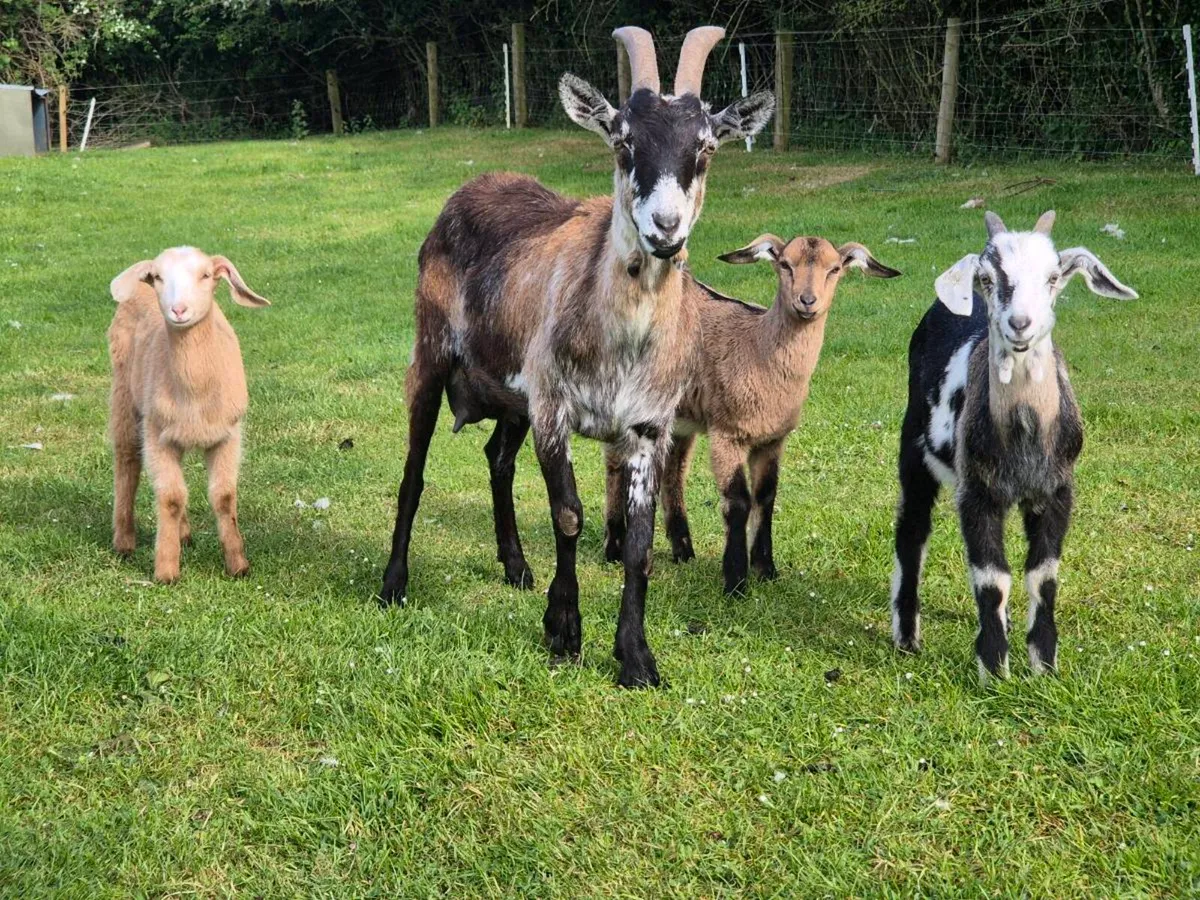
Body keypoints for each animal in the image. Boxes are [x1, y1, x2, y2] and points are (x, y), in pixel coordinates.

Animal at [108, 247, 270, 583]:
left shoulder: (228, 435)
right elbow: (170, 498)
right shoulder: (157, 435)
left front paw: (238, 565)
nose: (178, 310)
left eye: (206, 275)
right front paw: (166, 570)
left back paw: (183, 534)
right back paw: (125, 542)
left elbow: (223, 497)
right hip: (124, 395)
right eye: (158, 276)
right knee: (127, 463)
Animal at [378, 26, 774, 688]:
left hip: (513, 395)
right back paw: (392, 584)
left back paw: (515, 566)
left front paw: (636, 656)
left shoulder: (646, 426)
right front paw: (564, 630)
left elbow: (638, 544)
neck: (620, 341)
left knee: (496, 459)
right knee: (414, 473)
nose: (665, 227)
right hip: (432, 355)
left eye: (706, 146)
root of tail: (472, 186)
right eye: (623, 140)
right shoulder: (554, 408)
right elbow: (568, 515)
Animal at [602, 234, 900, 594]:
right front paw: (735, 581)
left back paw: (683, 551)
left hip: (679, 418)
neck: (756, 348)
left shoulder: (772, 438)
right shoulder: (726, 432)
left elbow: (766, 497)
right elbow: (738, 501)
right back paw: (615, 549)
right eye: (785, 264)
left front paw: (765, 568)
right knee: (616, 464)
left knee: (672, 473)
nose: (807, 301)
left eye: (834, 269)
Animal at [890, 210, 1137, 681]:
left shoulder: (1056, 491)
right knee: (911, 531)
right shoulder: (977, 494)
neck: (1025, 433)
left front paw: (1044, 665)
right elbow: (991, 578)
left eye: (1054, 276)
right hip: (913, 450)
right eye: (987, 277)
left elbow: (1042, 575)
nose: (1020, 324)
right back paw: (907, 636)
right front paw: (993, 669)